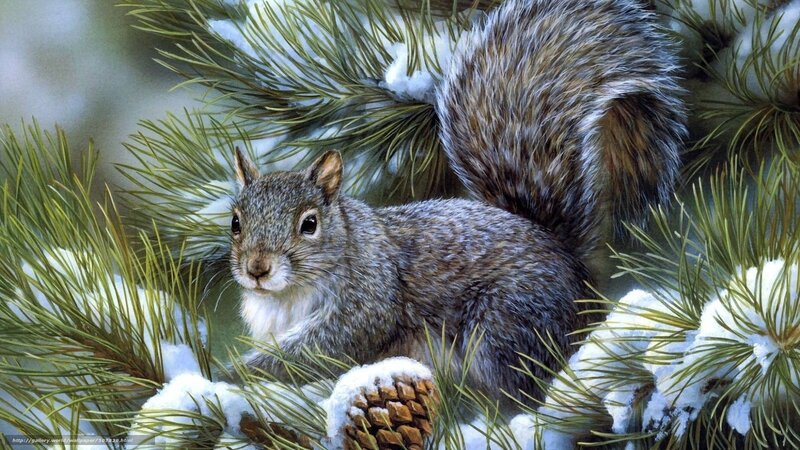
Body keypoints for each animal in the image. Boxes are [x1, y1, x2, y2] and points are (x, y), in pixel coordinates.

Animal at [229, 0, 685, 405]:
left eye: (309, 224)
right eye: (235, 222)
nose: (257, 269)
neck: (287, 295)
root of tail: (574, 270)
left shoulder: (367, 298)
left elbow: (324, 347)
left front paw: (240, 372)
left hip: (507, 324)